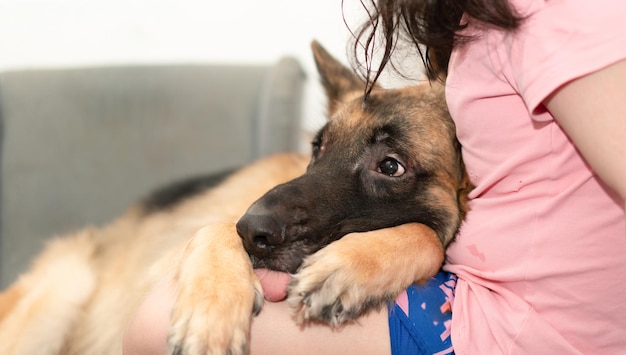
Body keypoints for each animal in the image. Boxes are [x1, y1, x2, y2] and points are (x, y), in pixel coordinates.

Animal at [0, 42, 468, 355]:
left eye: (390, 166)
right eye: (318, 148)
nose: (252, 229)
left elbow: (428, 236)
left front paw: (350, 265)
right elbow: (215, 227)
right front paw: (211, 311)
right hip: (67, 287)